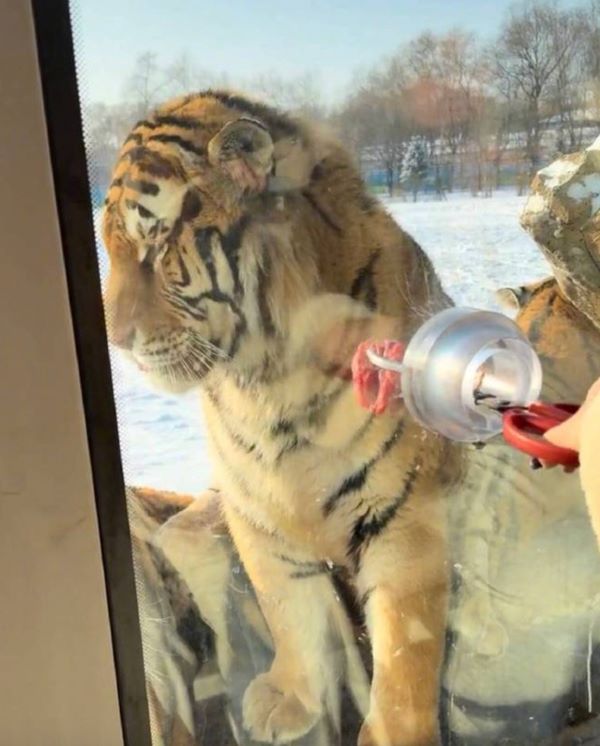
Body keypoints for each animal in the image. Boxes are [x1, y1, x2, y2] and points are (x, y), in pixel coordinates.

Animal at [101, 90, 461, 746]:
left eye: (157, 246)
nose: (118, 340)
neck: (265, 381)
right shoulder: (254, 506)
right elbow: (286, 606)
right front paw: (289, 699)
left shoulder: (404, 512)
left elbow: (405, 652)